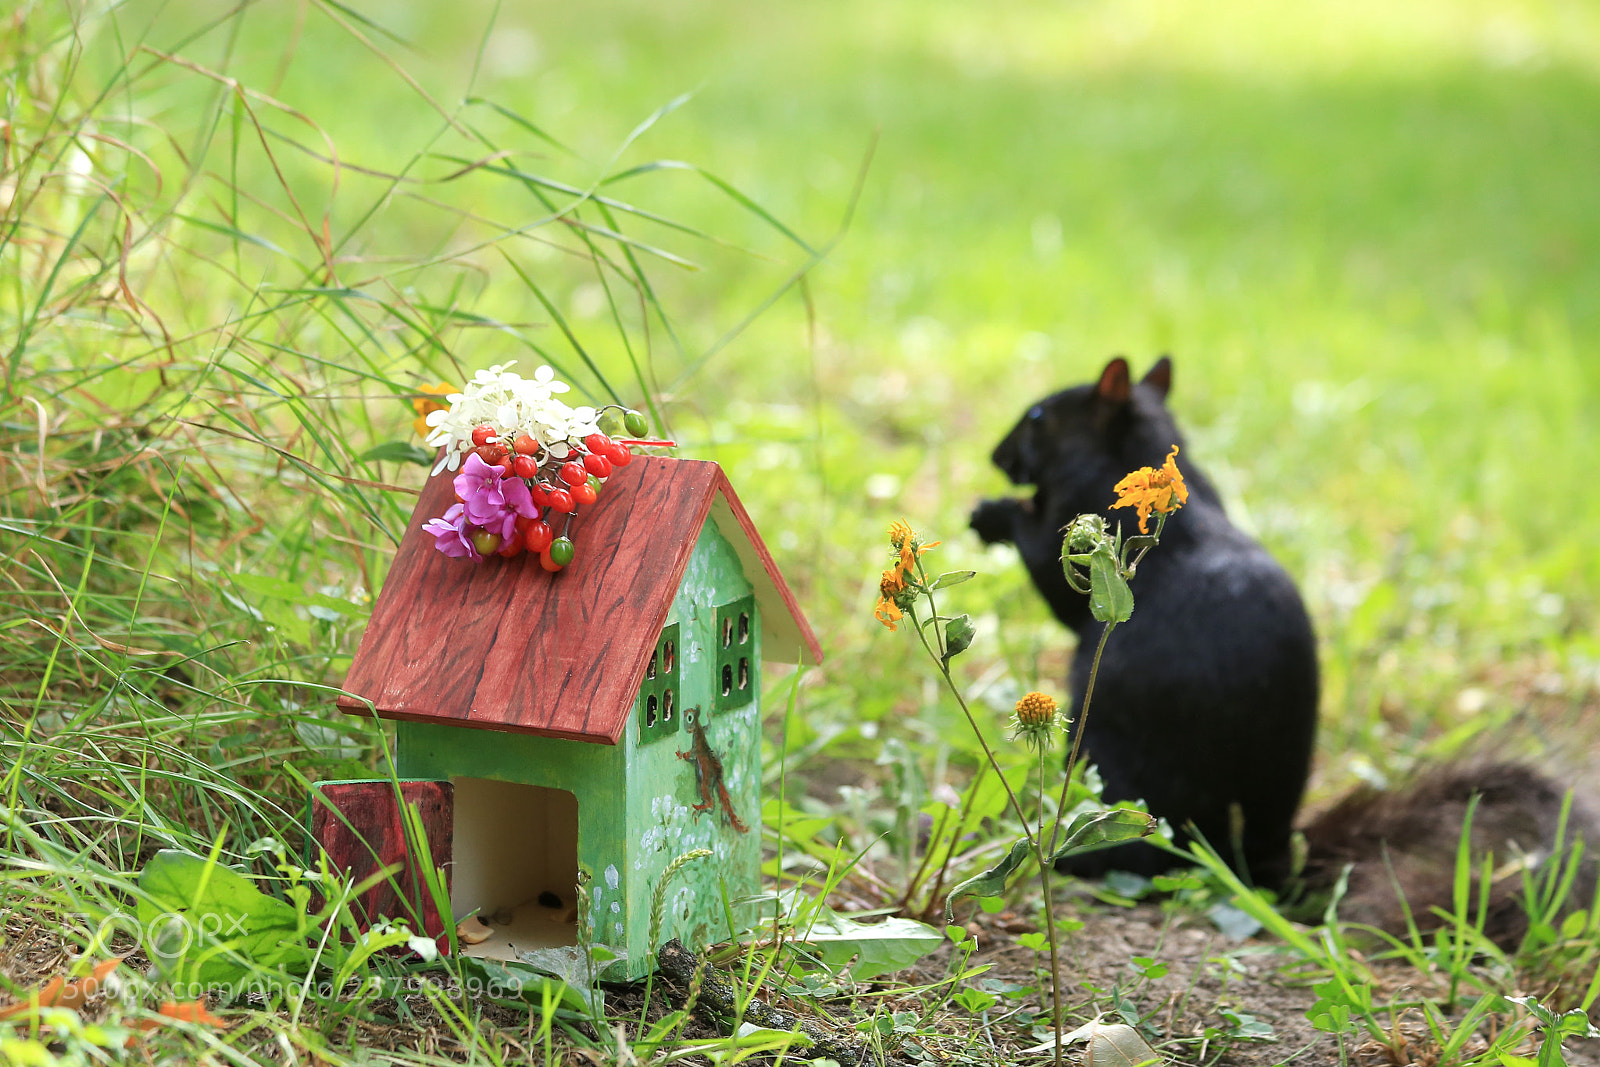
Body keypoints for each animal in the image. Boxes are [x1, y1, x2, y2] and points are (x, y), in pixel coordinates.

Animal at [970, 356, 1596, 944]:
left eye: (1038, 417)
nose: (996, 456)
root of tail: (1257, 857)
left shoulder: (1078, 511)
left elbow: (1048, 567)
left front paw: (992, 511)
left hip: (1113, 773)